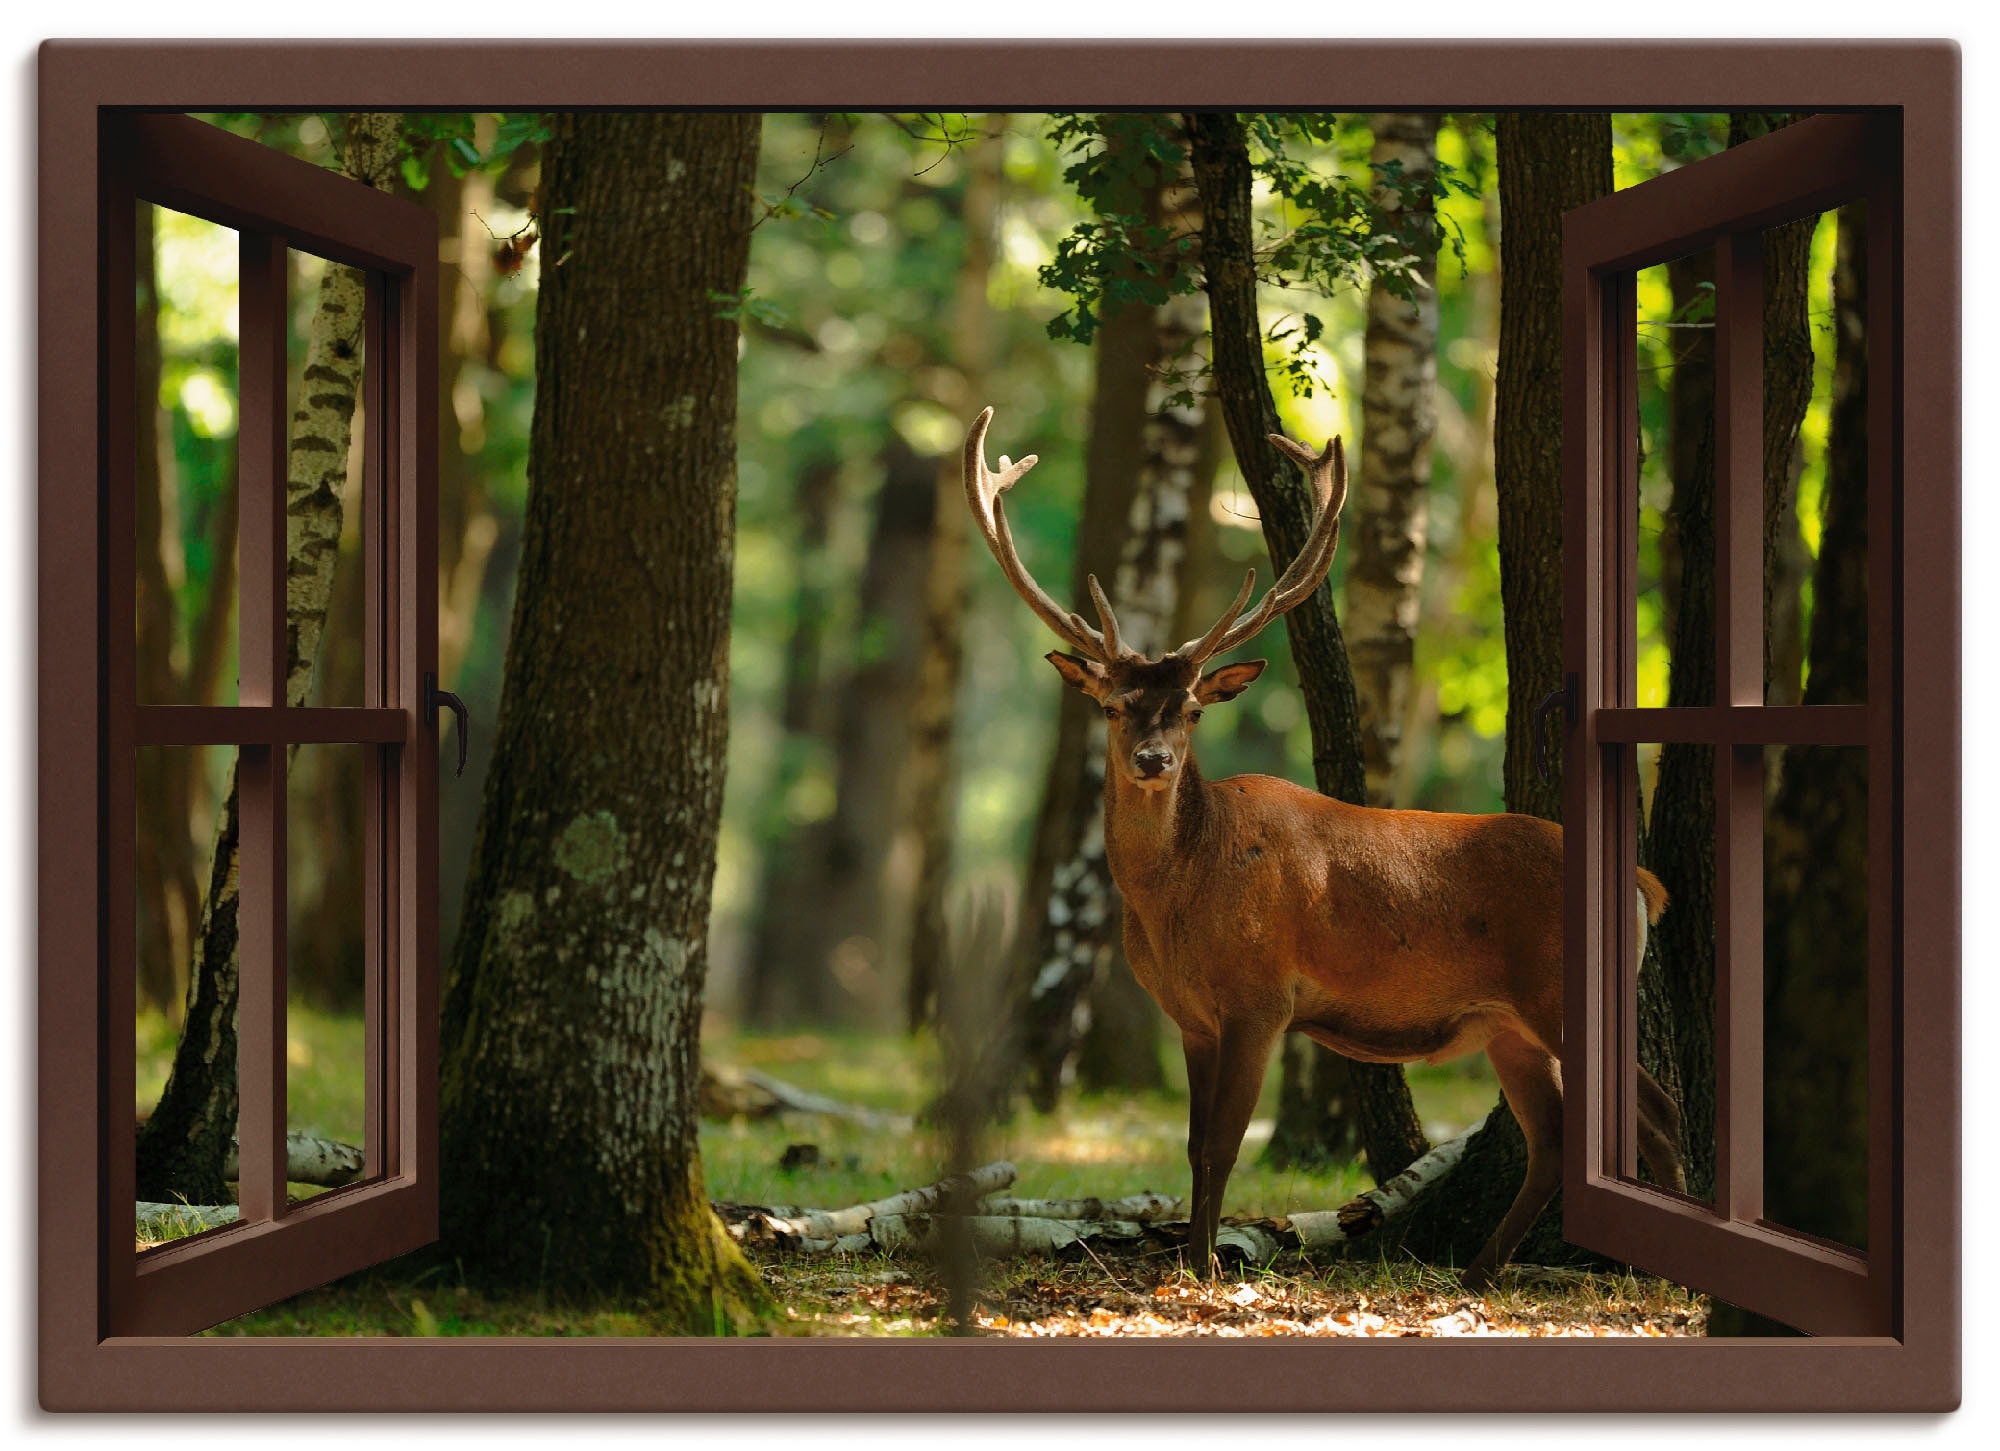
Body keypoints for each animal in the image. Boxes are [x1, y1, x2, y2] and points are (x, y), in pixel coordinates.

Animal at [965, 407, 1684, 1288]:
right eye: (1112, 705)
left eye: (1193, 709)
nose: (1154, 760)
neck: (1179, 896)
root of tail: (1647, 882)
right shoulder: (1192, 1017)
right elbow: (1195, 1146)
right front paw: (1193, 1261)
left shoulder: (1261, 996)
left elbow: (1224, 1144)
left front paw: (1204, 1269)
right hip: (1507, 1022)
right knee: (1552, 1137)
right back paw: (1480, 1271)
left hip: (1558, 990)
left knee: (1657, 1112)